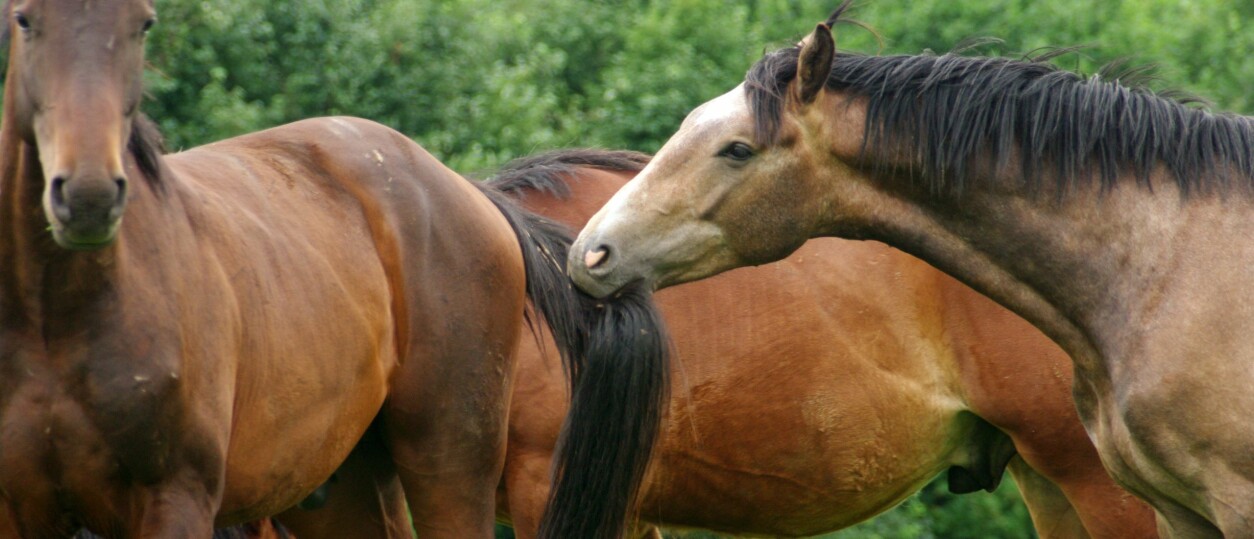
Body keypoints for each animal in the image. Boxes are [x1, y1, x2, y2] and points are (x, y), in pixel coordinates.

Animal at [0, 1, 669, 537]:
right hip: (346, 486)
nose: (88, 194)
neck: (61, 321)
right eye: (23, 19)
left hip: (447, 464)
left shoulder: (176, 501)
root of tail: (468, 191)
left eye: (143, 23)